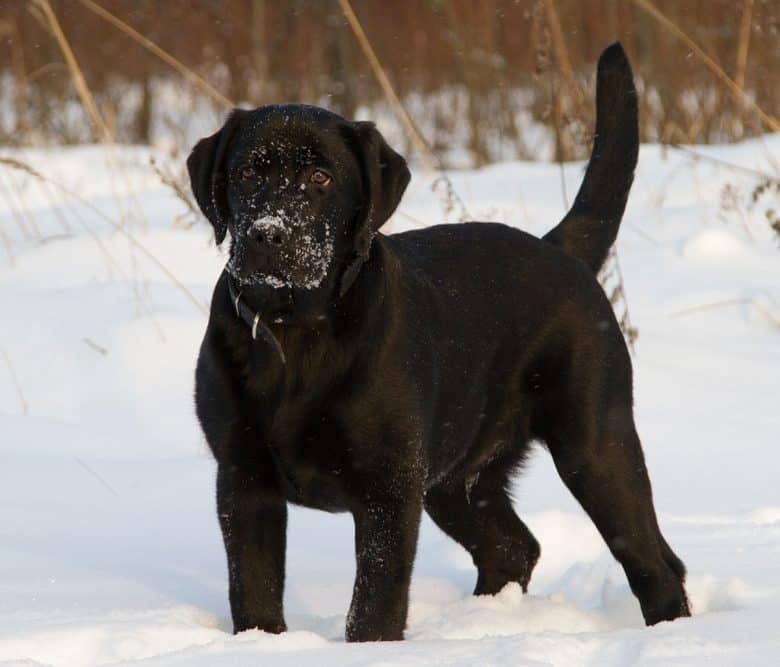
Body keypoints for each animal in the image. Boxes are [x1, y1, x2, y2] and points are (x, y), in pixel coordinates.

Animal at [187, 43, 688, 640]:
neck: (295, 332)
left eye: (321, 178)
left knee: (652, 561)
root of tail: (558, 249)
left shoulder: (388, 488)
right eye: (244, 172)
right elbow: (255, 594)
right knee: (513, 547)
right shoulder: (243, 478)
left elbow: (374, 604)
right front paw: (259, 645)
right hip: (456, 478)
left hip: (594, 443)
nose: (268, 234)